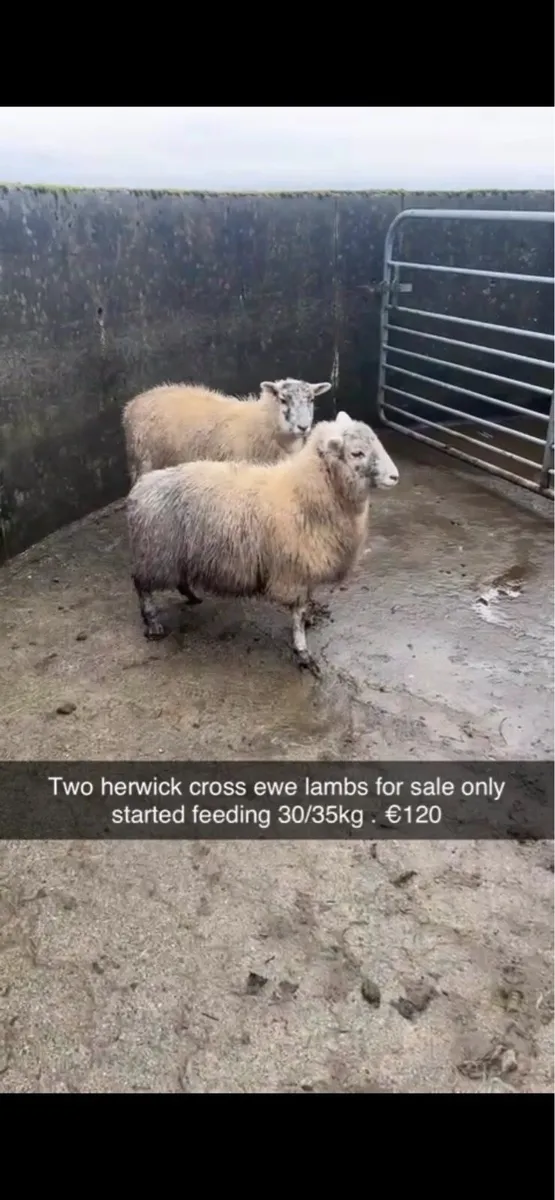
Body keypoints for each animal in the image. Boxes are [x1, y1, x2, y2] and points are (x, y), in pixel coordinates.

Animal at [126, 411, 399, 677]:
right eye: (357, 453)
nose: (395, 476)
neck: (304, 493)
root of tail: (141, 487)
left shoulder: (306, 566)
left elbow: (306, 603)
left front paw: (309, 620)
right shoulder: (293, 570)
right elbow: (298, 613)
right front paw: (303, 652)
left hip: (176, 553)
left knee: (178, 579)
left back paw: (192, 596)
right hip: (156, 553)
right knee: (142, 586)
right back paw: (152, 623)